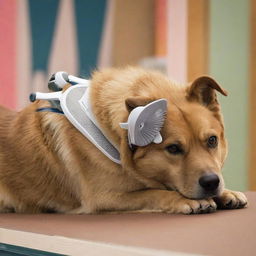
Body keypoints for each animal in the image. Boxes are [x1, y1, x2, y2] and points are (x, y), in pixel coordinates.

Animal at [0, 67, 248, 214]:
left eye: (212, 141)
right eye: (173, 148)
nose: (211, 183)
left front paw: (227, 193)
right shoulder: (103, 198)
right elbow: (151, 193)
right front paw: (182, 200)